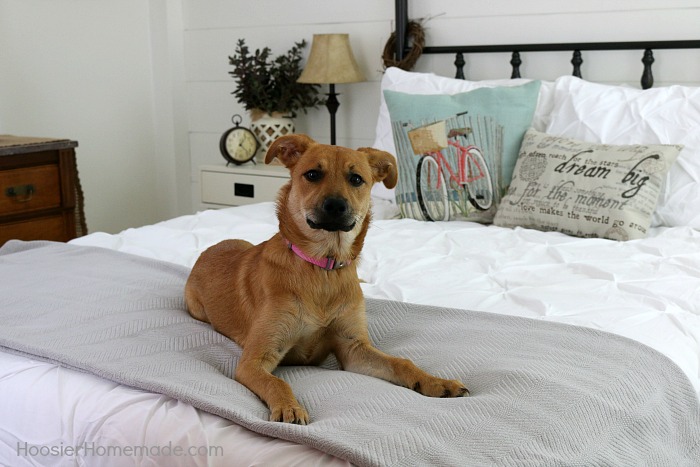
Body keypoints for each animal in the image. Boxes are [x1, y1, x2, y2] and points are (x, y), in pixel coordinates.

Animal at [183, 134, 468, 424]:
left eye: (356, 179)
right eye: (312, 174)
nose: (335, 206)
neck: (323, 269)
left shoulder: (353, 348)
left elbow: (401, 362)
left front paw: (436, 382)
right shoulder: (253, 360)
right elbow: (277, 382)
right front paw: (289, 407)